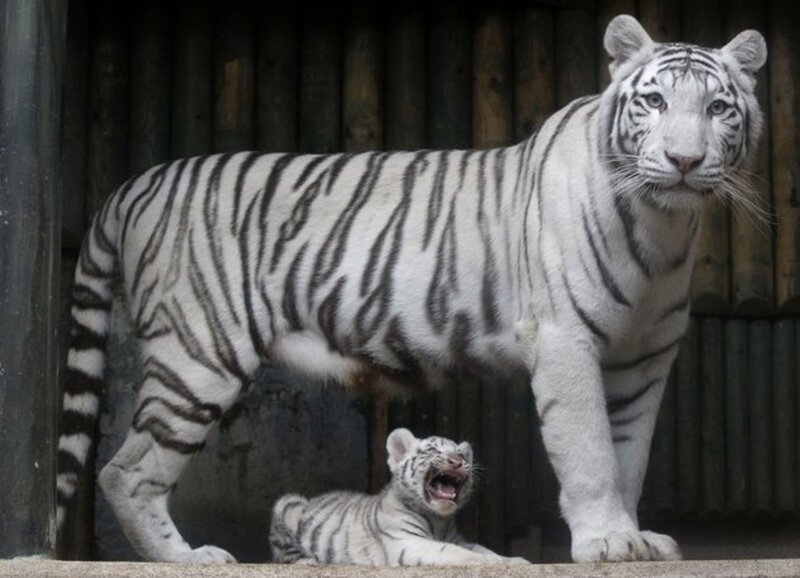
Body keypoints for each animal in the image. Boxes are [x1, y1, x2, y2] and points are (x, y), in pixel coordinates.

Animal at [269, 428, 527, 566]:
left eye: (462, 455)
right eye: (433, 450)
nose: (457, 461)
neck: (438, 519)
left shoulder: (457, 538)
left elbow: (481, 547)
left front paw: (513, 560)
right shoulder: (407, 541)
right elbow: (452, 551)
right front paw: (491, 563)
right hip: (287, 503)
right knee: (281, 553)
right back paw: (308, 561)